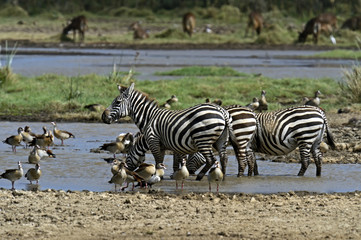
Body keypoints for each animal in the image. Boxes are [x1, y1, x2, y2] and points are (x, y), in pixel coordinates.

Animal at [101, 83, 231, 181]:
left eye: (117, 102)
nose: (103, 117)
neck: (149, 118)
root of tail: (221, 111)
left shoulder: (153, 141)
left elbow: (158, 161)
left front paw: (159, 176)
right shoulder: (167, 145)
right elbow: (169, 161)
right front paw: (169, 174)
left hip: (203, 139)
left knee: (211, 159)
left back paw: (199, 177)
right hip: (221, 139)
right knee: (223, 158)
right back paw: (223, 177)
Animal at [186, 105, 334, 176]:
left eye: (191, 156)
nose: (190, 172)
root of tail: (320, 112)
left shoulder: (243, 144)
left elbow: (247, 161)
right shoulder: (248, 146)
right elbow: (254, 163)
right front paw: (255, 176)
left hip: (305, 137)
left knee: (306, 161)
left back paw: (299, 176)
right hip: (316, 140)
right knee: (318, 158)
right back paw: (318, 175)